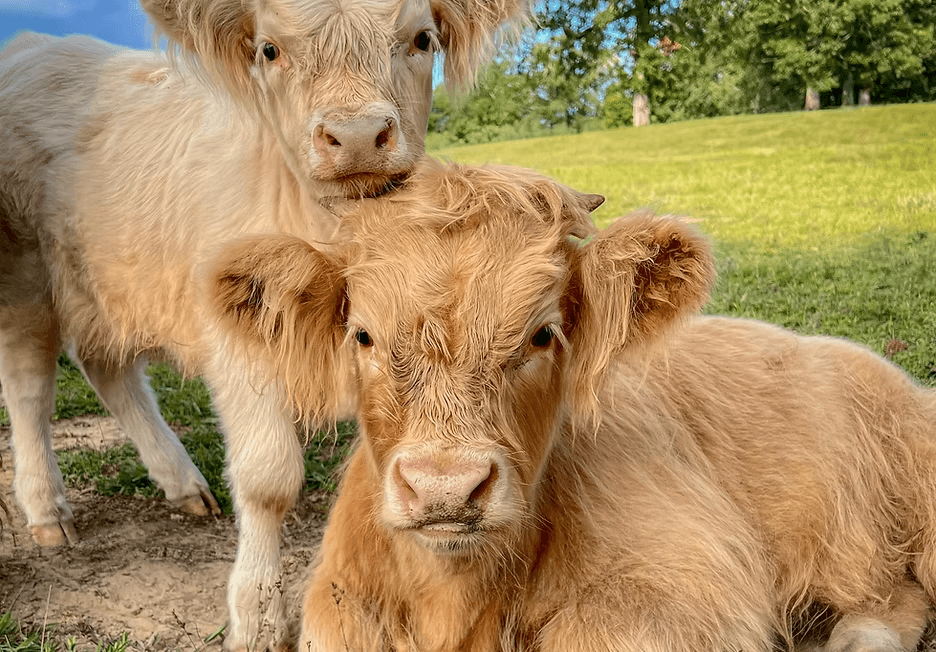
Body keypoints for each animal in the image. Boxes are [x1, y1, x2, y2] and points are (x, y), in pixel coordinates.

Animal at [0, 1, 528, 648]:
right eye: (269, 50)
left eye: (422, 38)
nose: (356, 136)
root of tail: (34, 45)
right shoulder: (241, 341)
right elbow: (268, 480)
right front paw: (257, 616)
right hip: (24, 273)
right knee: (28, 384)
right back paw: (46, 509)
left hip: (113, 281)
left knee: (106, 367)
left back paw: (180, 481)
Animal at [210, 160, 936, 651]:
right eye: (362, 334)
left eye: (542, 333)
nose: (445, 487)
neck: (453, 598)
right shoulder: (338, 605)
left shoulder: (688, 587)